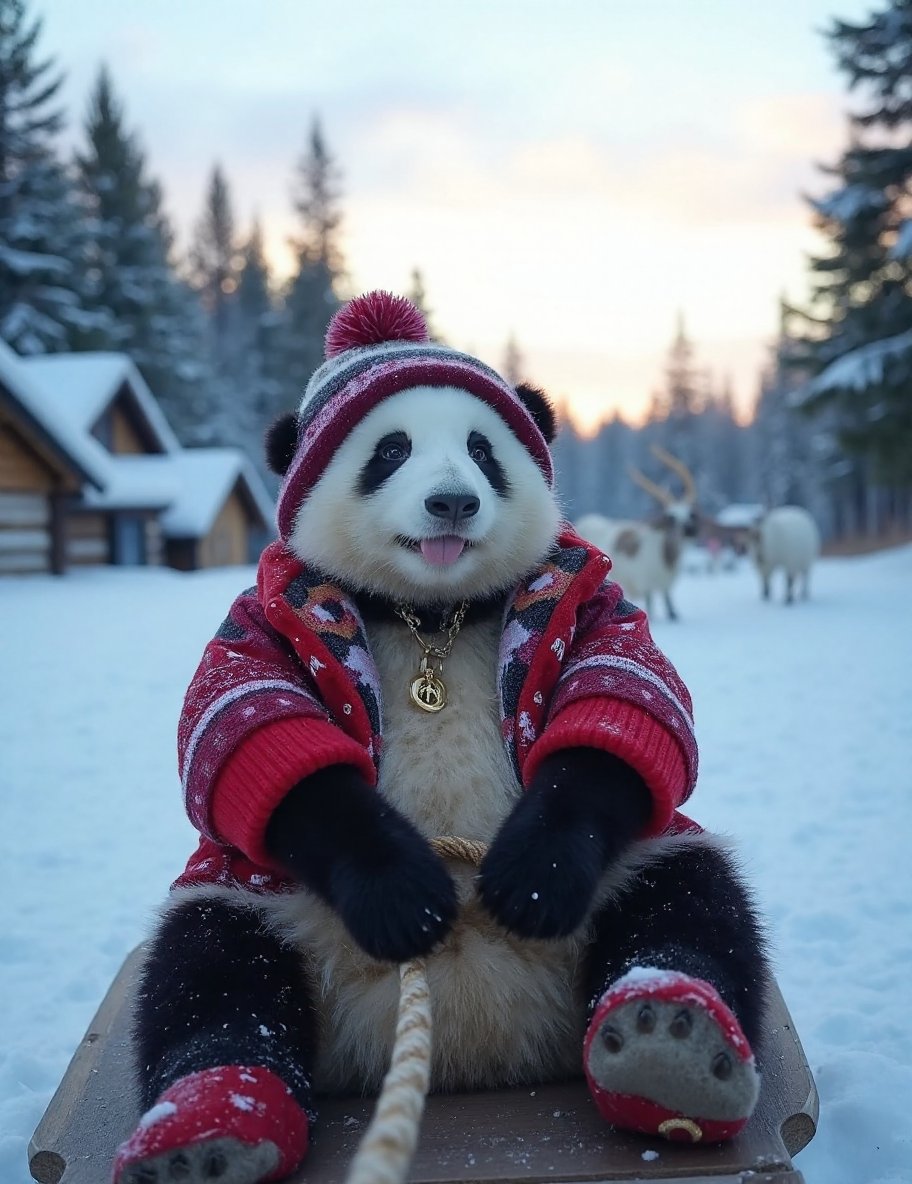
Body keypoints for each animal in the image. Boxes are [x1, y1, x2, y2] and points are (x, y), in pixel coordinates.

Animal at [113, 293, 767, 1184]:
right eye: (390, 450)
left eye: (483, 451)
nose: (452, 502)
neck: (429, 616)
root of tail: (477, 1047)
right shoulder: (258, 624)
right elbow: (243, 726)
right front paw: (401, 892)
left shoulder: (596, 606)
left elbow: (628, 698)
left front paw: (535, 873)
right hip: (277, 906)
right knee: (207, 970)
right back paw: (207, 1128)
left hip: (627, 870)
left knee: (694, 901)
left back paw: (673, 1040)